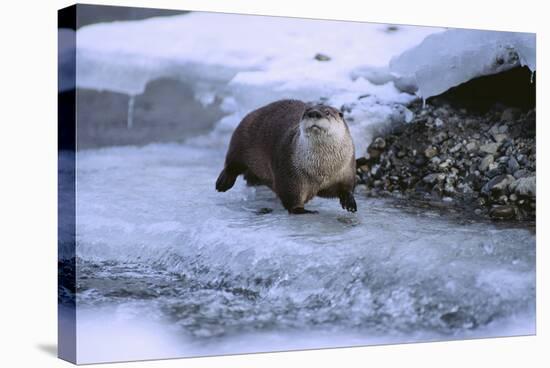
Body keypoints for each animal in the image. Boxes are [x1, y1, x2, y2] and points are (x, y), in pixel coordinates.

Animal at [216, 99, 358, 214]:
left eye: (327, 112)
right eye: (306, 112)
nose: (314, 113)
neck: (322, 170)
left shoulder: (347, 169)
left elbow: (345, 187)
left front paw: (349, 201)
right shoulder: (290, 171)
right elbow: (291, 195)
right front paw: (300, 210)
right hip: (241, 138)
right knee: (232, 162)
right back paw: (223, 182)